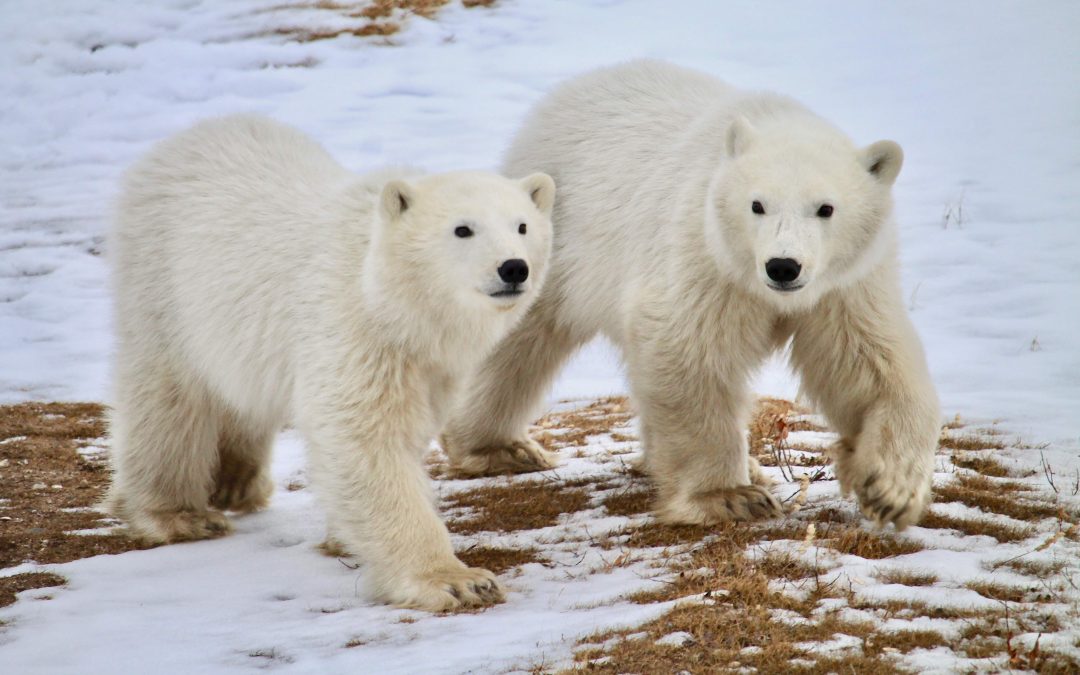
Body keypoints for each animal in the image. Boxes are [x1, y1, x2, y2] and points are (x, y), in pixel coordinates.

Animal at [105, 115, 555, 611]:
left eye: (522, 226)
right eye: (462, 229)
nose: (513, 268)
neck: (394, 302)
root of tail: (188, 137)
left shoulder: (429, 364)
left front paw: (344, 536)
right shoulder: (353, 325)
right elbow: (365, 438)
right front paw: (458, 580)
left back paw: (235, 480)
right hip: (163, 282)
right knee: (168, 396)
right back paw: (178, 514)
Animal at [442, 60, 940, 530]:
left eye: (826, 208)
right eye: (757, 205)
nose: (782, 266)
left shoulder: (845, 281)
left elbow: (866, 362)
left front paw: (890, 489)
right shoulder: (704, 253)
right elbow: (688, 352)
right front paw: (729, 497)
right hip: (548, 233)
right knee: (518, 333)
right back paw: (498, 446)